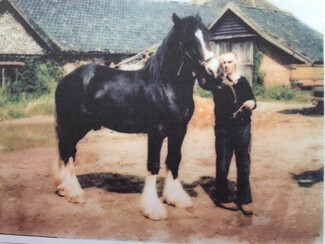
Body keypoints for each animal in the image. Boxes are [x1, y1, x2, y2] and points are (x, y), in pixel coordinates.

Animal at [54, 13, 219, 220]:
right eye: (188, 40)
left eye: (208, 37)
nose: (213, 73)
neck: (166, 86)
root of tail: (65, 79)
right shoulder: (156, 132)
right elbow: (153, 164)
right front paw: (153, 209)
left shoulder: (179, 130)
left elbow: (174, 160)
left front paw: (176, 199)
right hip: (73, 126)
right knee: (67, 152)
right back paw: (74, 194)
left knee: (68, 151)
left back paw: (64, 189)